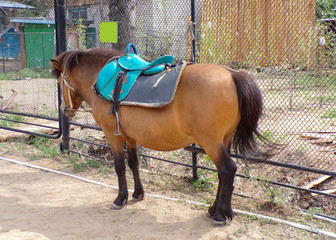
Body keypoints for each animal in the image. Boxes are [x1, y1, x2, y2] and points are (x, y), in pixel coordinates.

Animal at [51, 48, 272, 225]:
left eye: (61, 82)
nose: (64, 110)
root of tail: (232, 74)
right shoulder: (131, 137)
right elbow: (134, 163)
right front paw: (138, 193)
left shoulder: (113, 136)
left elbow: (119, 166)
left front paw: (120, 198)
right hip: (223, 141)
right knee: (222, 173)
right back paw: (213, 210)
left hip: (211, 143)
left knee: (227, 170)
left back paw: (221, 215)